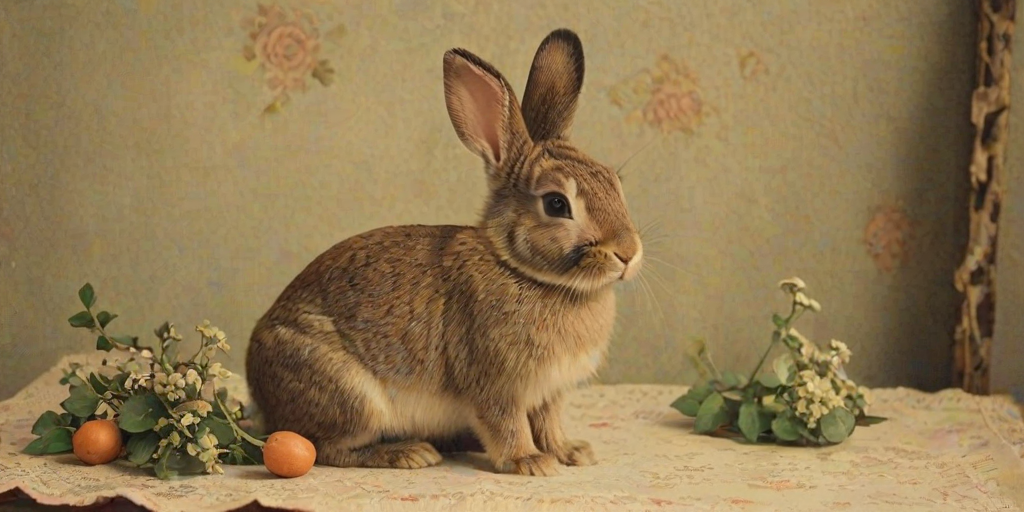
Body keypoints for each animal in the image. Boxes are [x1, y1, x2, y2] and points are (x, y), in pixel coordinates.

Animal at [245, 28, 643, 477]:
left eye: (614, 182)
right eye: (557, 204)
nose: (628, 253)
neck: (523, 271)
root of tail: (260, 391)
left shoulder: (549, 393)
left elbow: (550, 422)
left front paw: (571, 452)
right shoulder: (495, 385)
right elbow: (507, 424)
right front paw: (529, 462)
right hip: (351, 398)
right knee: (326, 447)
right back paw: (409, 453)